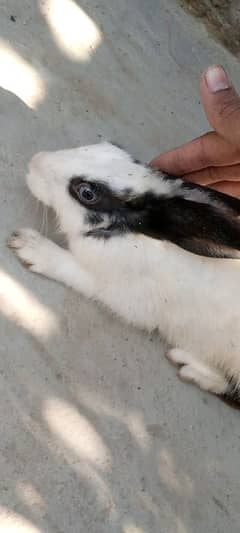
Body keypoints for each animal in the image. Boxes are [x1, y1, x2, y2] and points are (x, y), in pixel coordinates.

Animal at [7, 141, 240, 404]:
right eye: (110, 146)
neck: (132, 235)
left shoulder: (122, 294)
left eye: (87, 193)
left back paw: (191, 367)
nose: (35, 160)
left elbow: (73, 269)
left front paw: (28, 245)